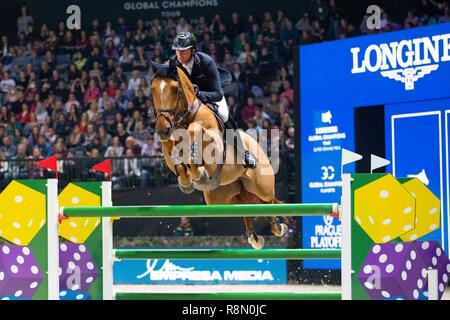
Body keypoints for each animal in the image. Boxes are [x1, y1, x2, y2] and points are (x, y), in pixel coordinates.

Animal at [149, 60, 288, 250]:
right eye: (153, 89)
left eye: (175, 89)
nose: (162, 129)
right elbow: (174, 154)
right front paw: (187, 181)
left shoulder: (212, 143)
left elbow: (195, 130)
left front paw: (197, 170)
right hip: (221, 198)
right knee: (245, 204)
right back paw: (255, 236)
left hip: (262, 186)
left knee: (269, 201)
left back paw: (278, 226)